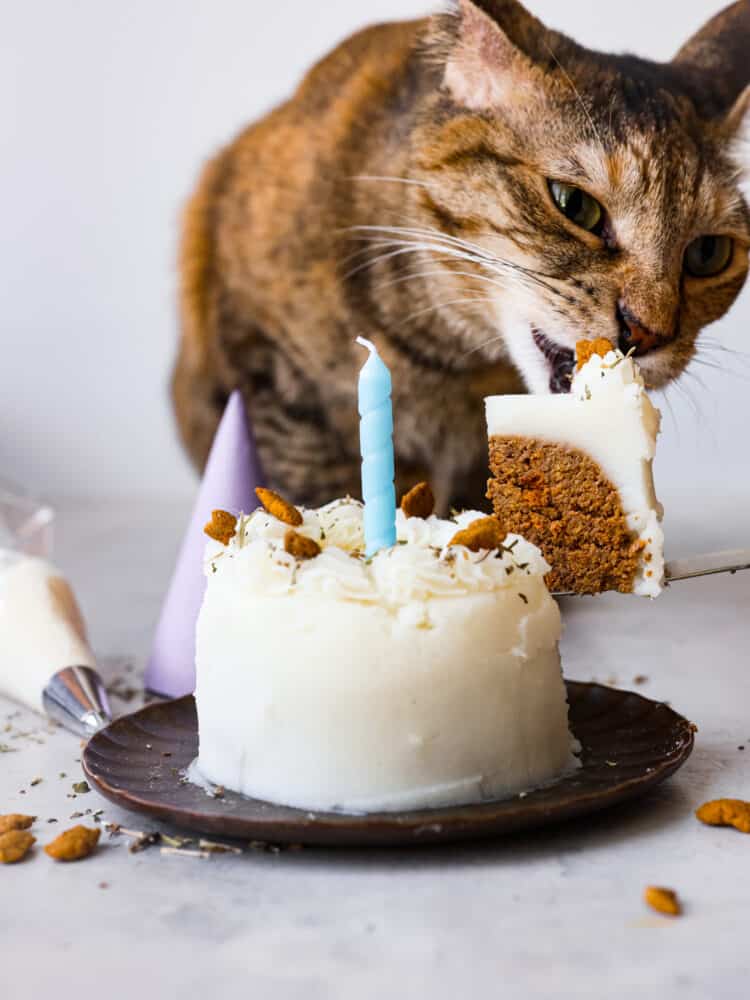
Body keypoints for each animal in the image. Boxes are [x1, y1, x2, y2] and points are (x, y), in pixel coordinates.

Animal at [173, 0, 748, 512]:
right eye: (574, 204)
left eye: (707, 253)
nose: (648, 333)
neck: (451, 362)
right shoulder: (272, 374)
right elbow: (317, 490)